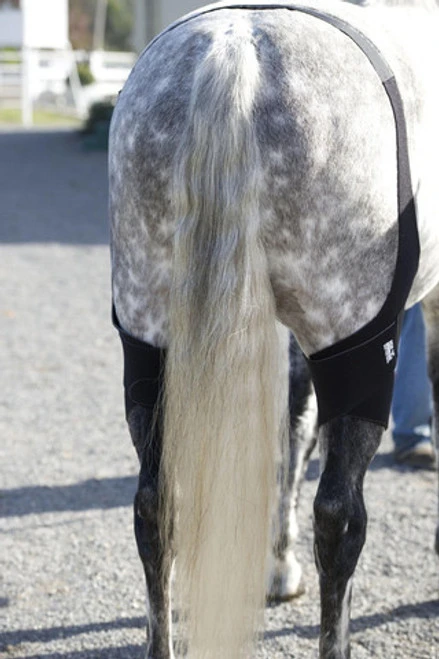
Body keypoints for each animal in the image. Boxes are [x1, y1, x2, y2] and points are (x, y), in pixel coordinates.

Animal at [108, 1, 439, 657]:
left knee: (156, 505)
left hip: (148, 344)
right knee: (340, 517)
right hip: (359, 346)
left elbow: (292, 428)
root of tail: (236, 51)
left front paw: (278, 566)